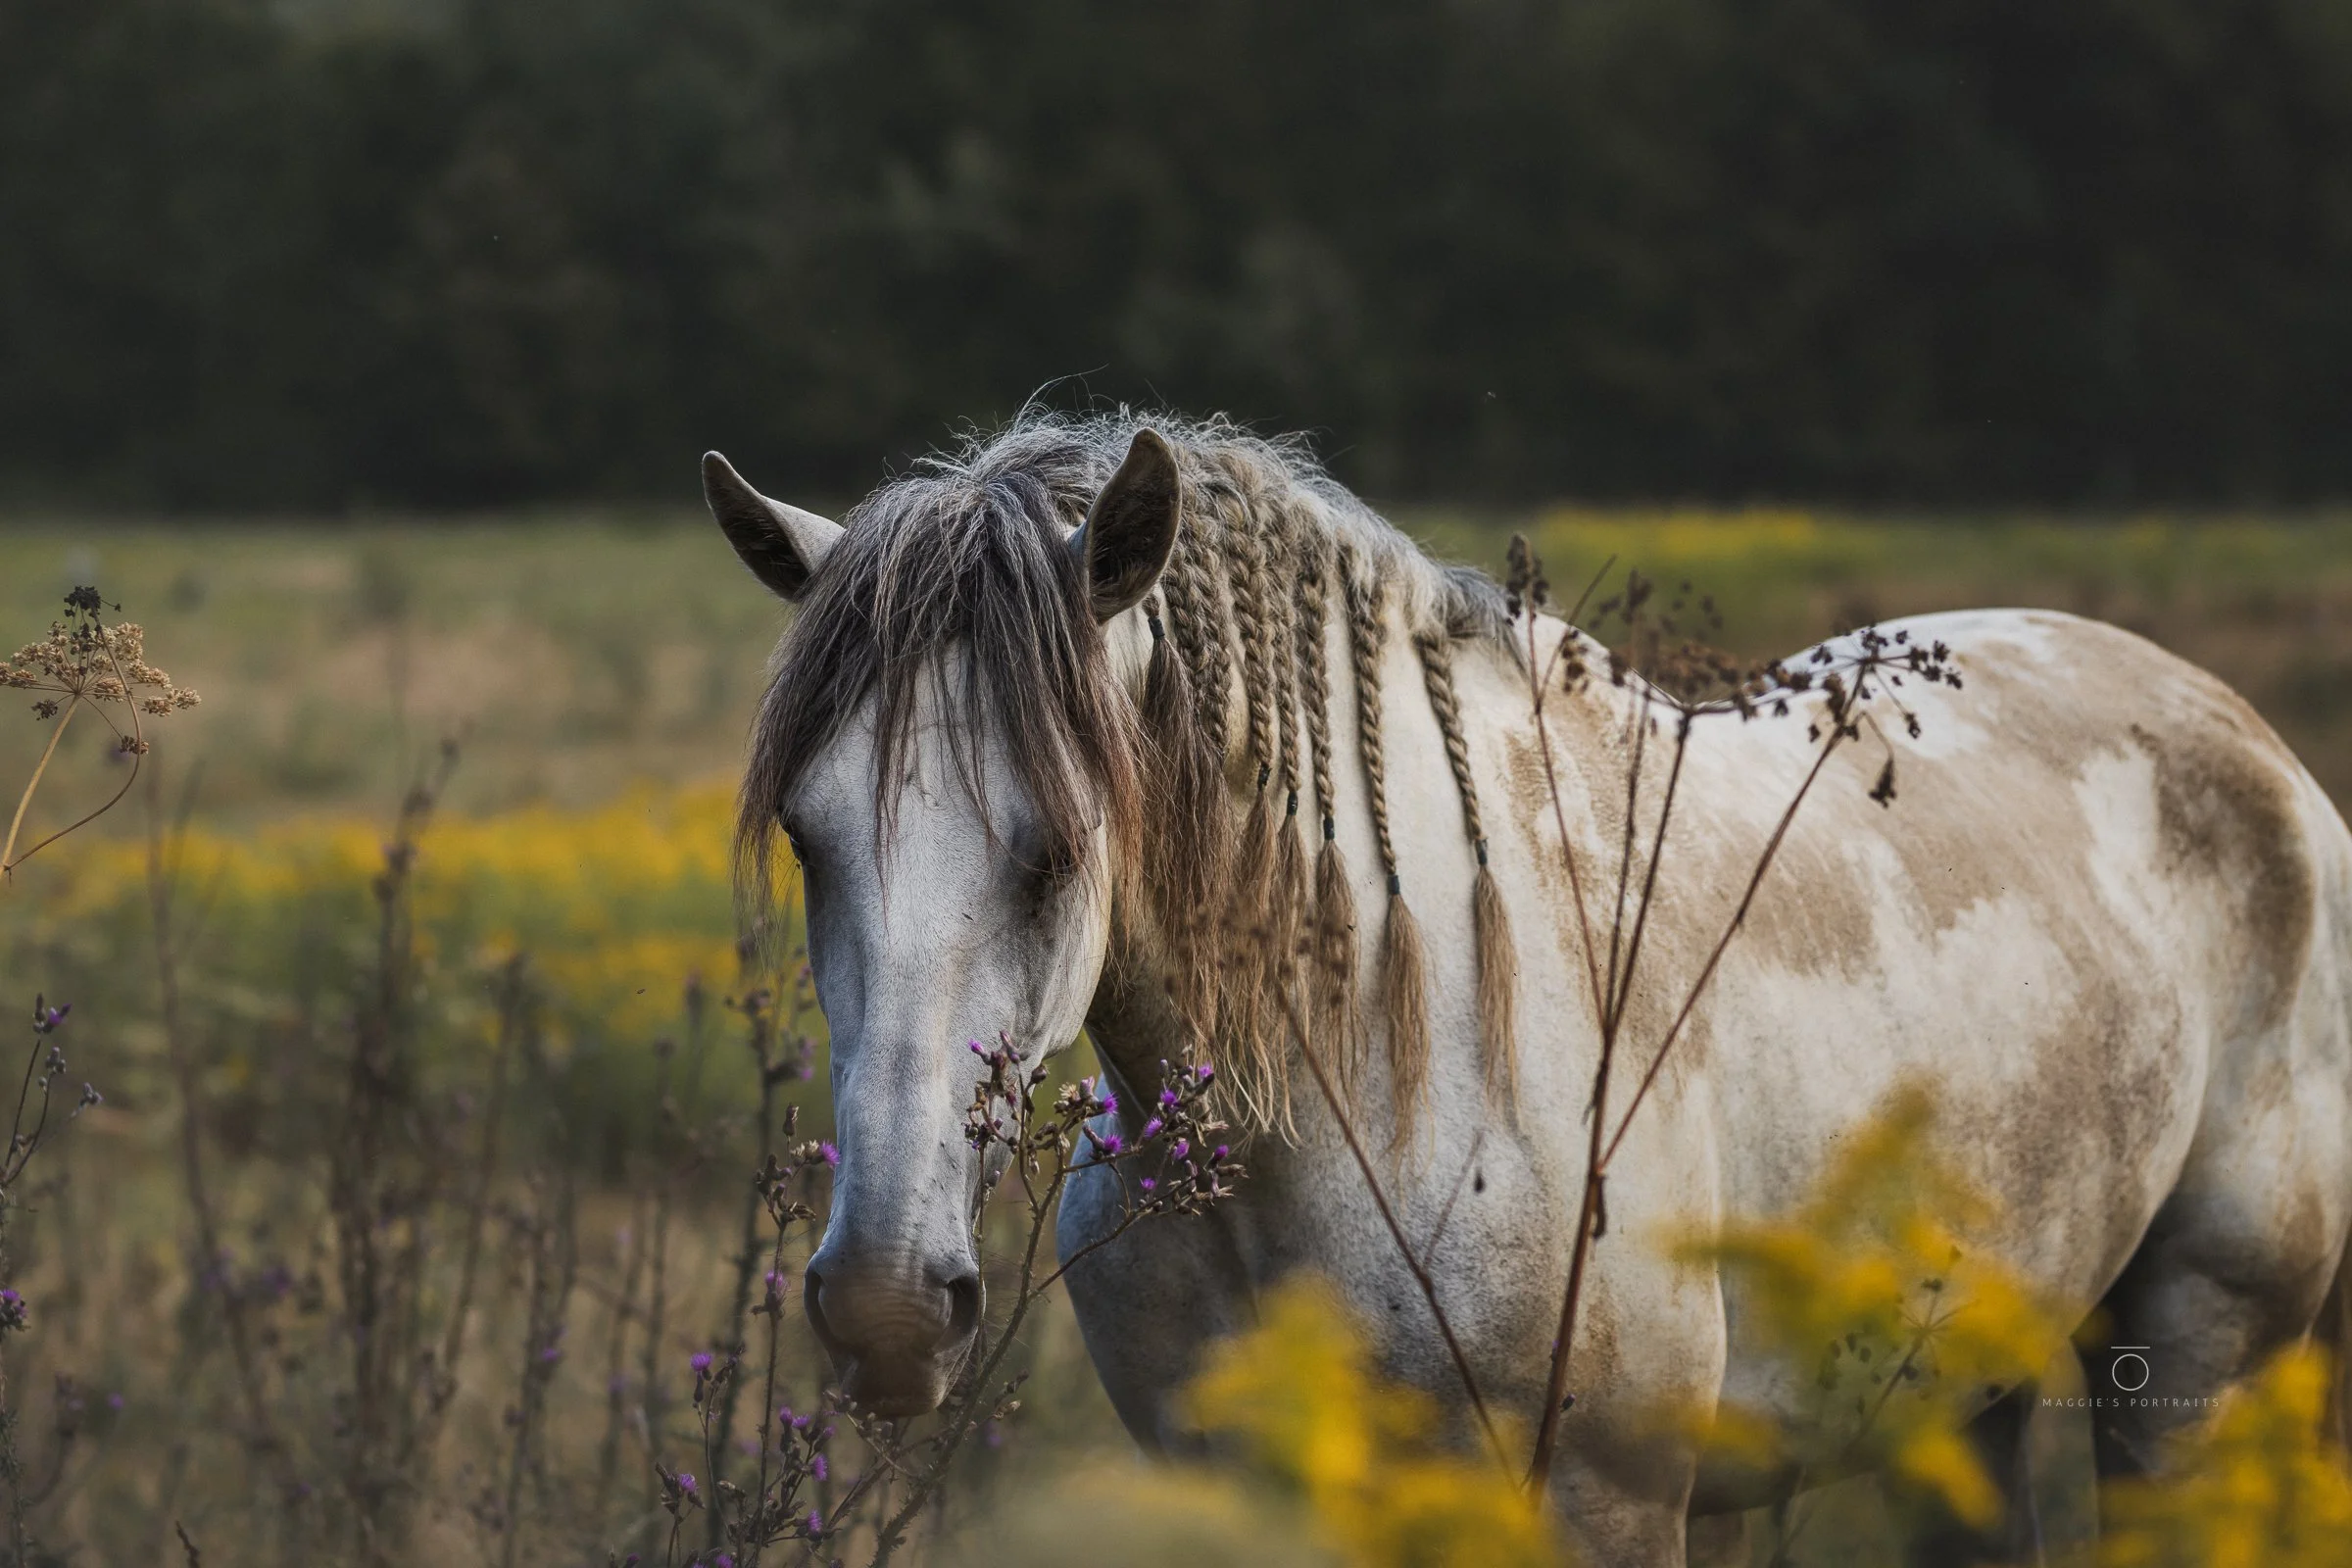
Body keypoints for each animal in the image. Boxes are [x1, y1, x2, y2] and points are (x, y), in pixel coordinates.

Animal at [704, 410, 2352, 1567]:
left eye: (1055, 850)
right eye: (808, 837)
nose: (883, 1311)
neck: (1378, 1074)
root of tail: (2257, 750)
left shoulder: (1605, 1506)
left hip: (2190, 1372)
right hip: (1965, 1398)